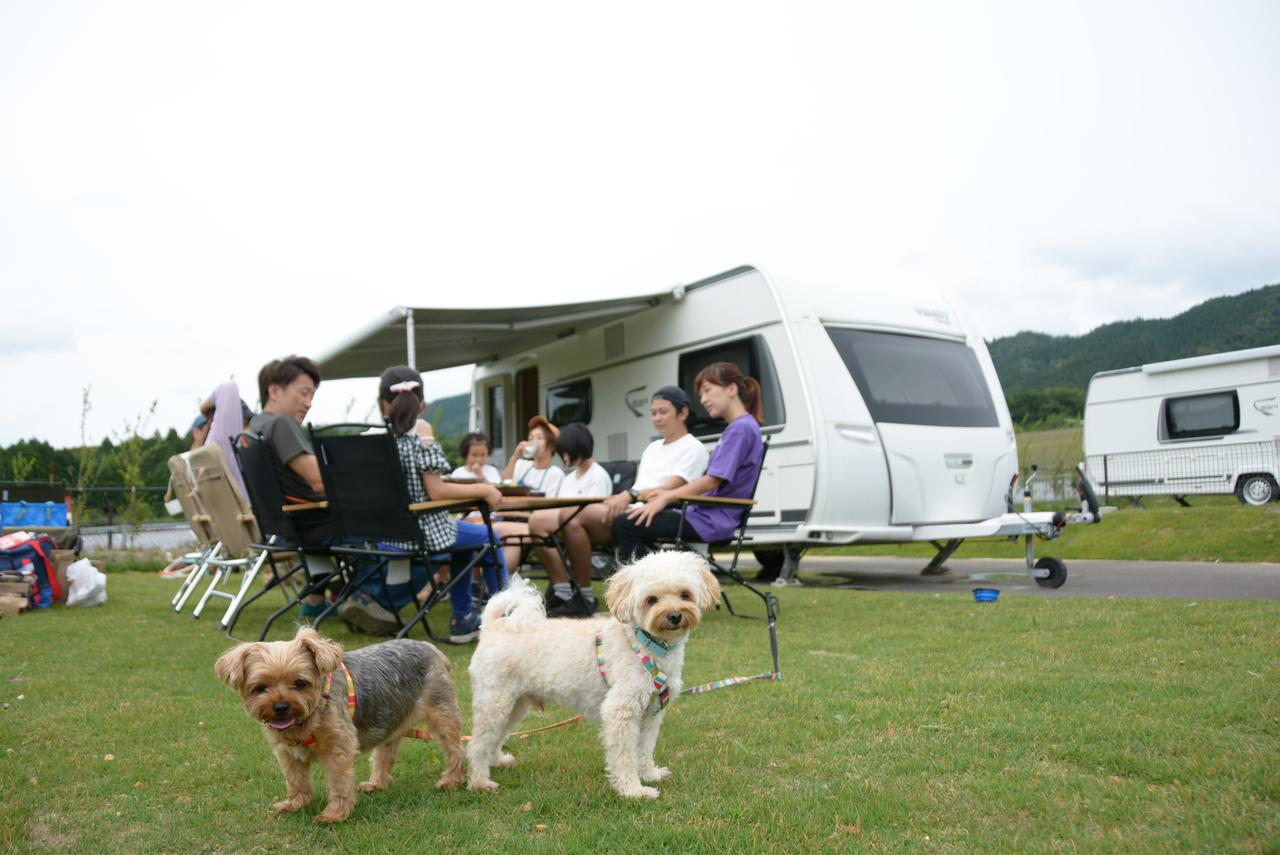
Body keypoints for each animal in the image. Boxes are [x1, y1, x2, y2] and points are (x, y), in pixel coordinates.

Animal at [465, 550, 721, 798]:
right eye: (652, 600)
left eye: (685, 594)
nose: (675, 616)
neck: (648, 644)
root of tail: (492, 627)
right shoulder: (620, 712)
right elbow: (625, 756)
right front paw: (633, 790)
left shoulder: (651, 714)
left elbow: (645, 749)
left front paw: (649, 774)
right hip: (494, 702)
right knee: (476, 744)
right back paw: (480, 782)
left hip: (515, 704)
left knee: (496, 737)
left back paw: (498, 761)